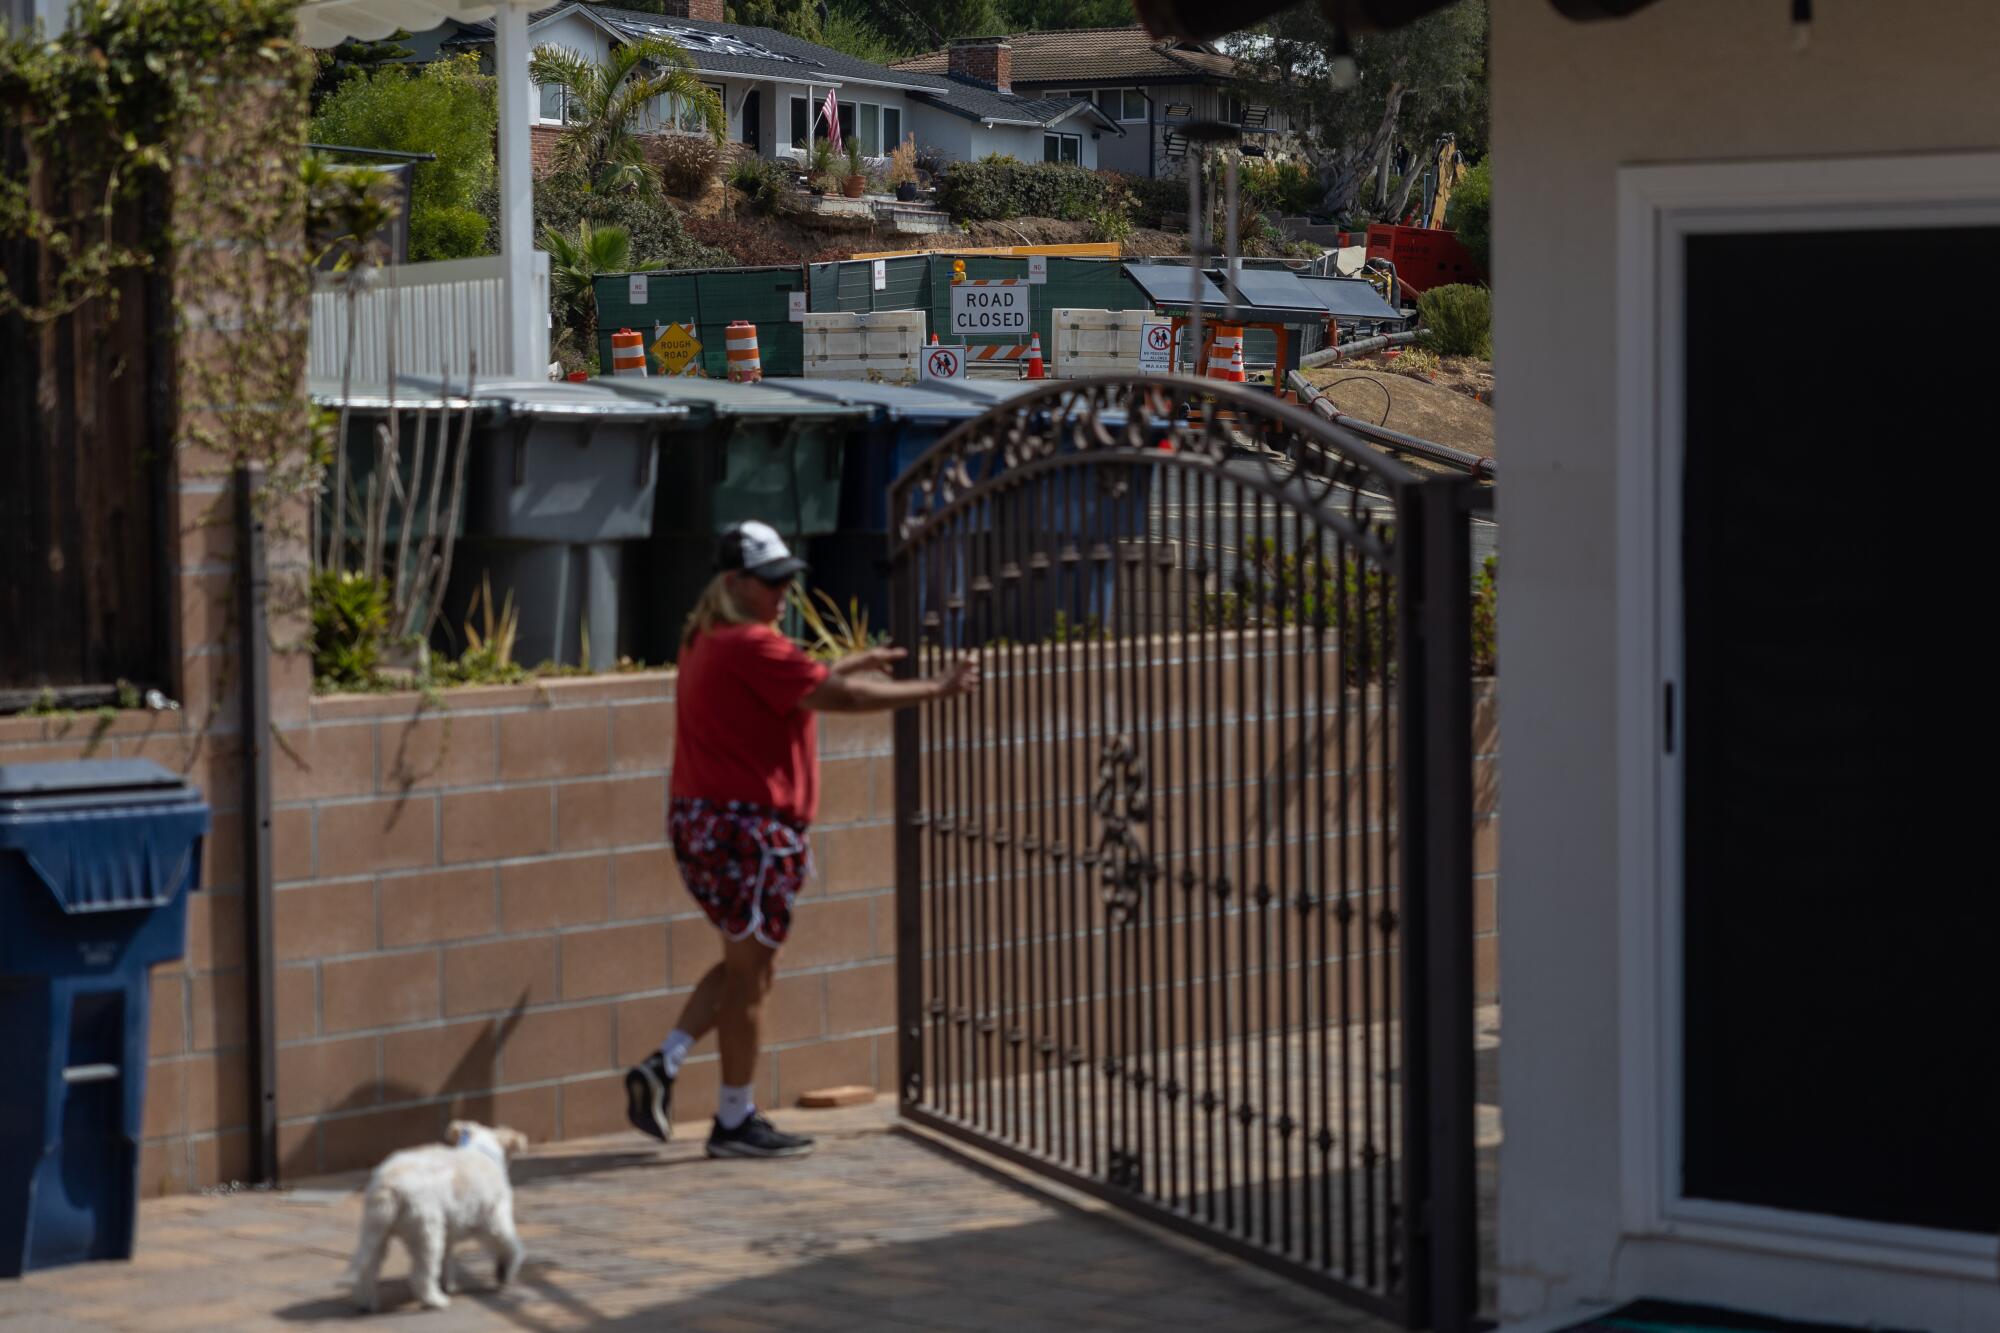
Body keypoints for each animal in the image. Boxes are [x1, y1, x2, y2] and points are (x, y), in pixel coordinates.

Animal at [344, 1112, 532, 1304]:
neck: (481, 1150)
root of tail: (387, 1185)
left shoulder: (450, 1230)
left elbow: (447, 1258)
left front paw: (448, 1283)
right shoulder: (494, 1218)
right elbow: (509, 1244)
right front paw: (505, 1271)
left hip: (376, 1229)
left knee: (369, 1268)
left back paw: (366, 1302)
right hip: (426, 1230)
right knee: (420, 1274)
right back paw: (435, 1300)